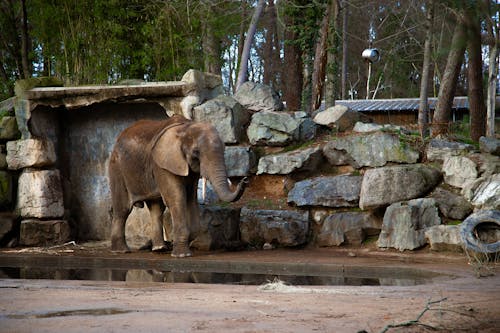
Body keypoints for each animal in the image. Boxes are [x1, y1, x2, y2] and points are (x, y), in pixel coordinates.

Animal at [109, 114, 246, 256]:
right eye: (196, 152)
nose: (244, 180)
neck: (185, 127)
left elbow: (191, 198)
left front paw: (181, 243)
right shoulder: (162, 164)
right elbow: (177, 198)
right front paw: (181, 254)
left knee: (156, 208)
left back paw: (159, 249)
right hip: (117, 168)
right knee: (123, 209)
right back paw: (121, 251)